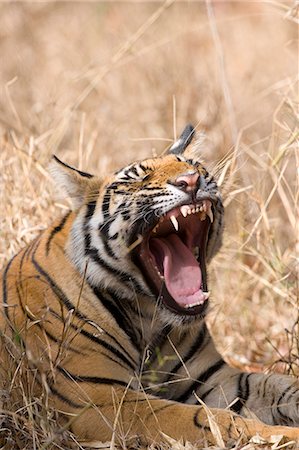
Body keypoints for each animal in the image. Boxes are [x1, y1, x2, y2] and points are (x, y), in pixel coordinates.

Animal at [0, 124, 299, 446]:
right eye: (138, 179)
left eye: (194, 165)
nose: (190, 181)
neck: (148, 317)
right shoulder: (98, 399)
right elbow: (209, 419)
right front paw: (285, 436)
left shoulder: (214, 377)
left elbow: (278, 384)